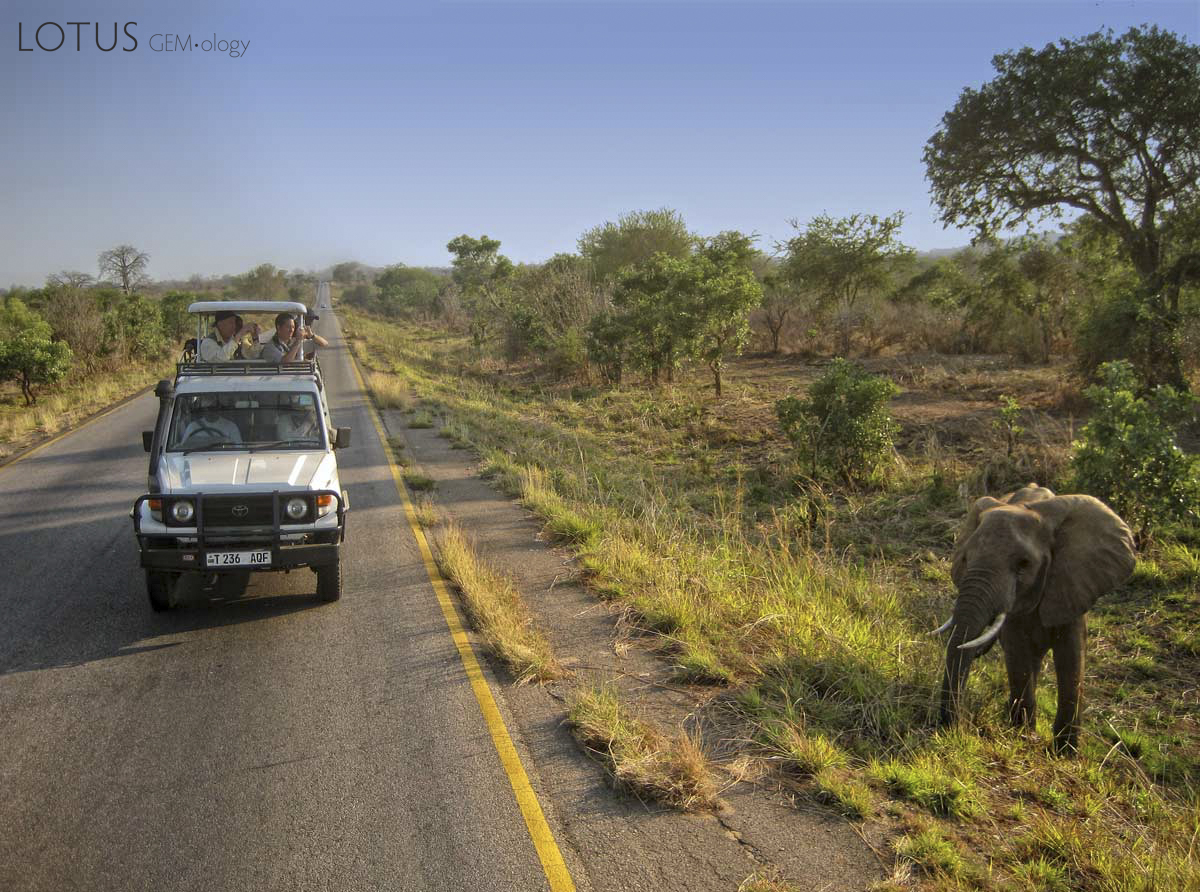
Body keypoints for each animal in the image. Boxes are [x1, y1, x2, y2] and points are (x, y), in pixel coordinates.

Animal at [932, 483, 1136, 753]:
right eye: (965, 559)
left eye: (1023, 564)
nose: (956, 726)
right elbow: (1017, 652)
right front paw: (1023, 736)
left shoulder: (1071, 582)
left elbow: (1072, 656)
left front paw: (1065, 753)